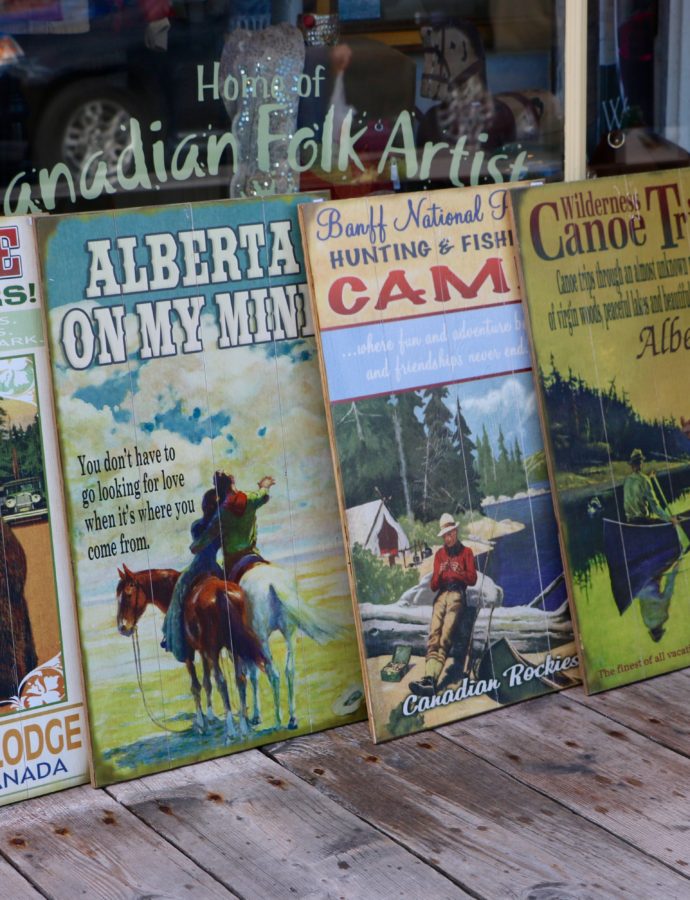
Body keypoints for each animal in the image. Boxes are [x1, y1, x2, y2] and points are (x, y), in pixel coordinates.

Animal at [114, 568, 264, 740]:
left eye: (128, 595)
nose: (122, 627)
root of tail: (221, 592)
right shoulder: (203, 652)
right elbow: (206, 683)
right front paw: (210, 716)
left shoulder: (190, 654)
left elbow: (196, 686)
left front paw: (200, 722)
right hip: (234, 647)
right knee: (240, 679)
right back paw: (244, 726)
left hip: (215, 650)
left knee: (222, 682)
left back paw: (231, 730)